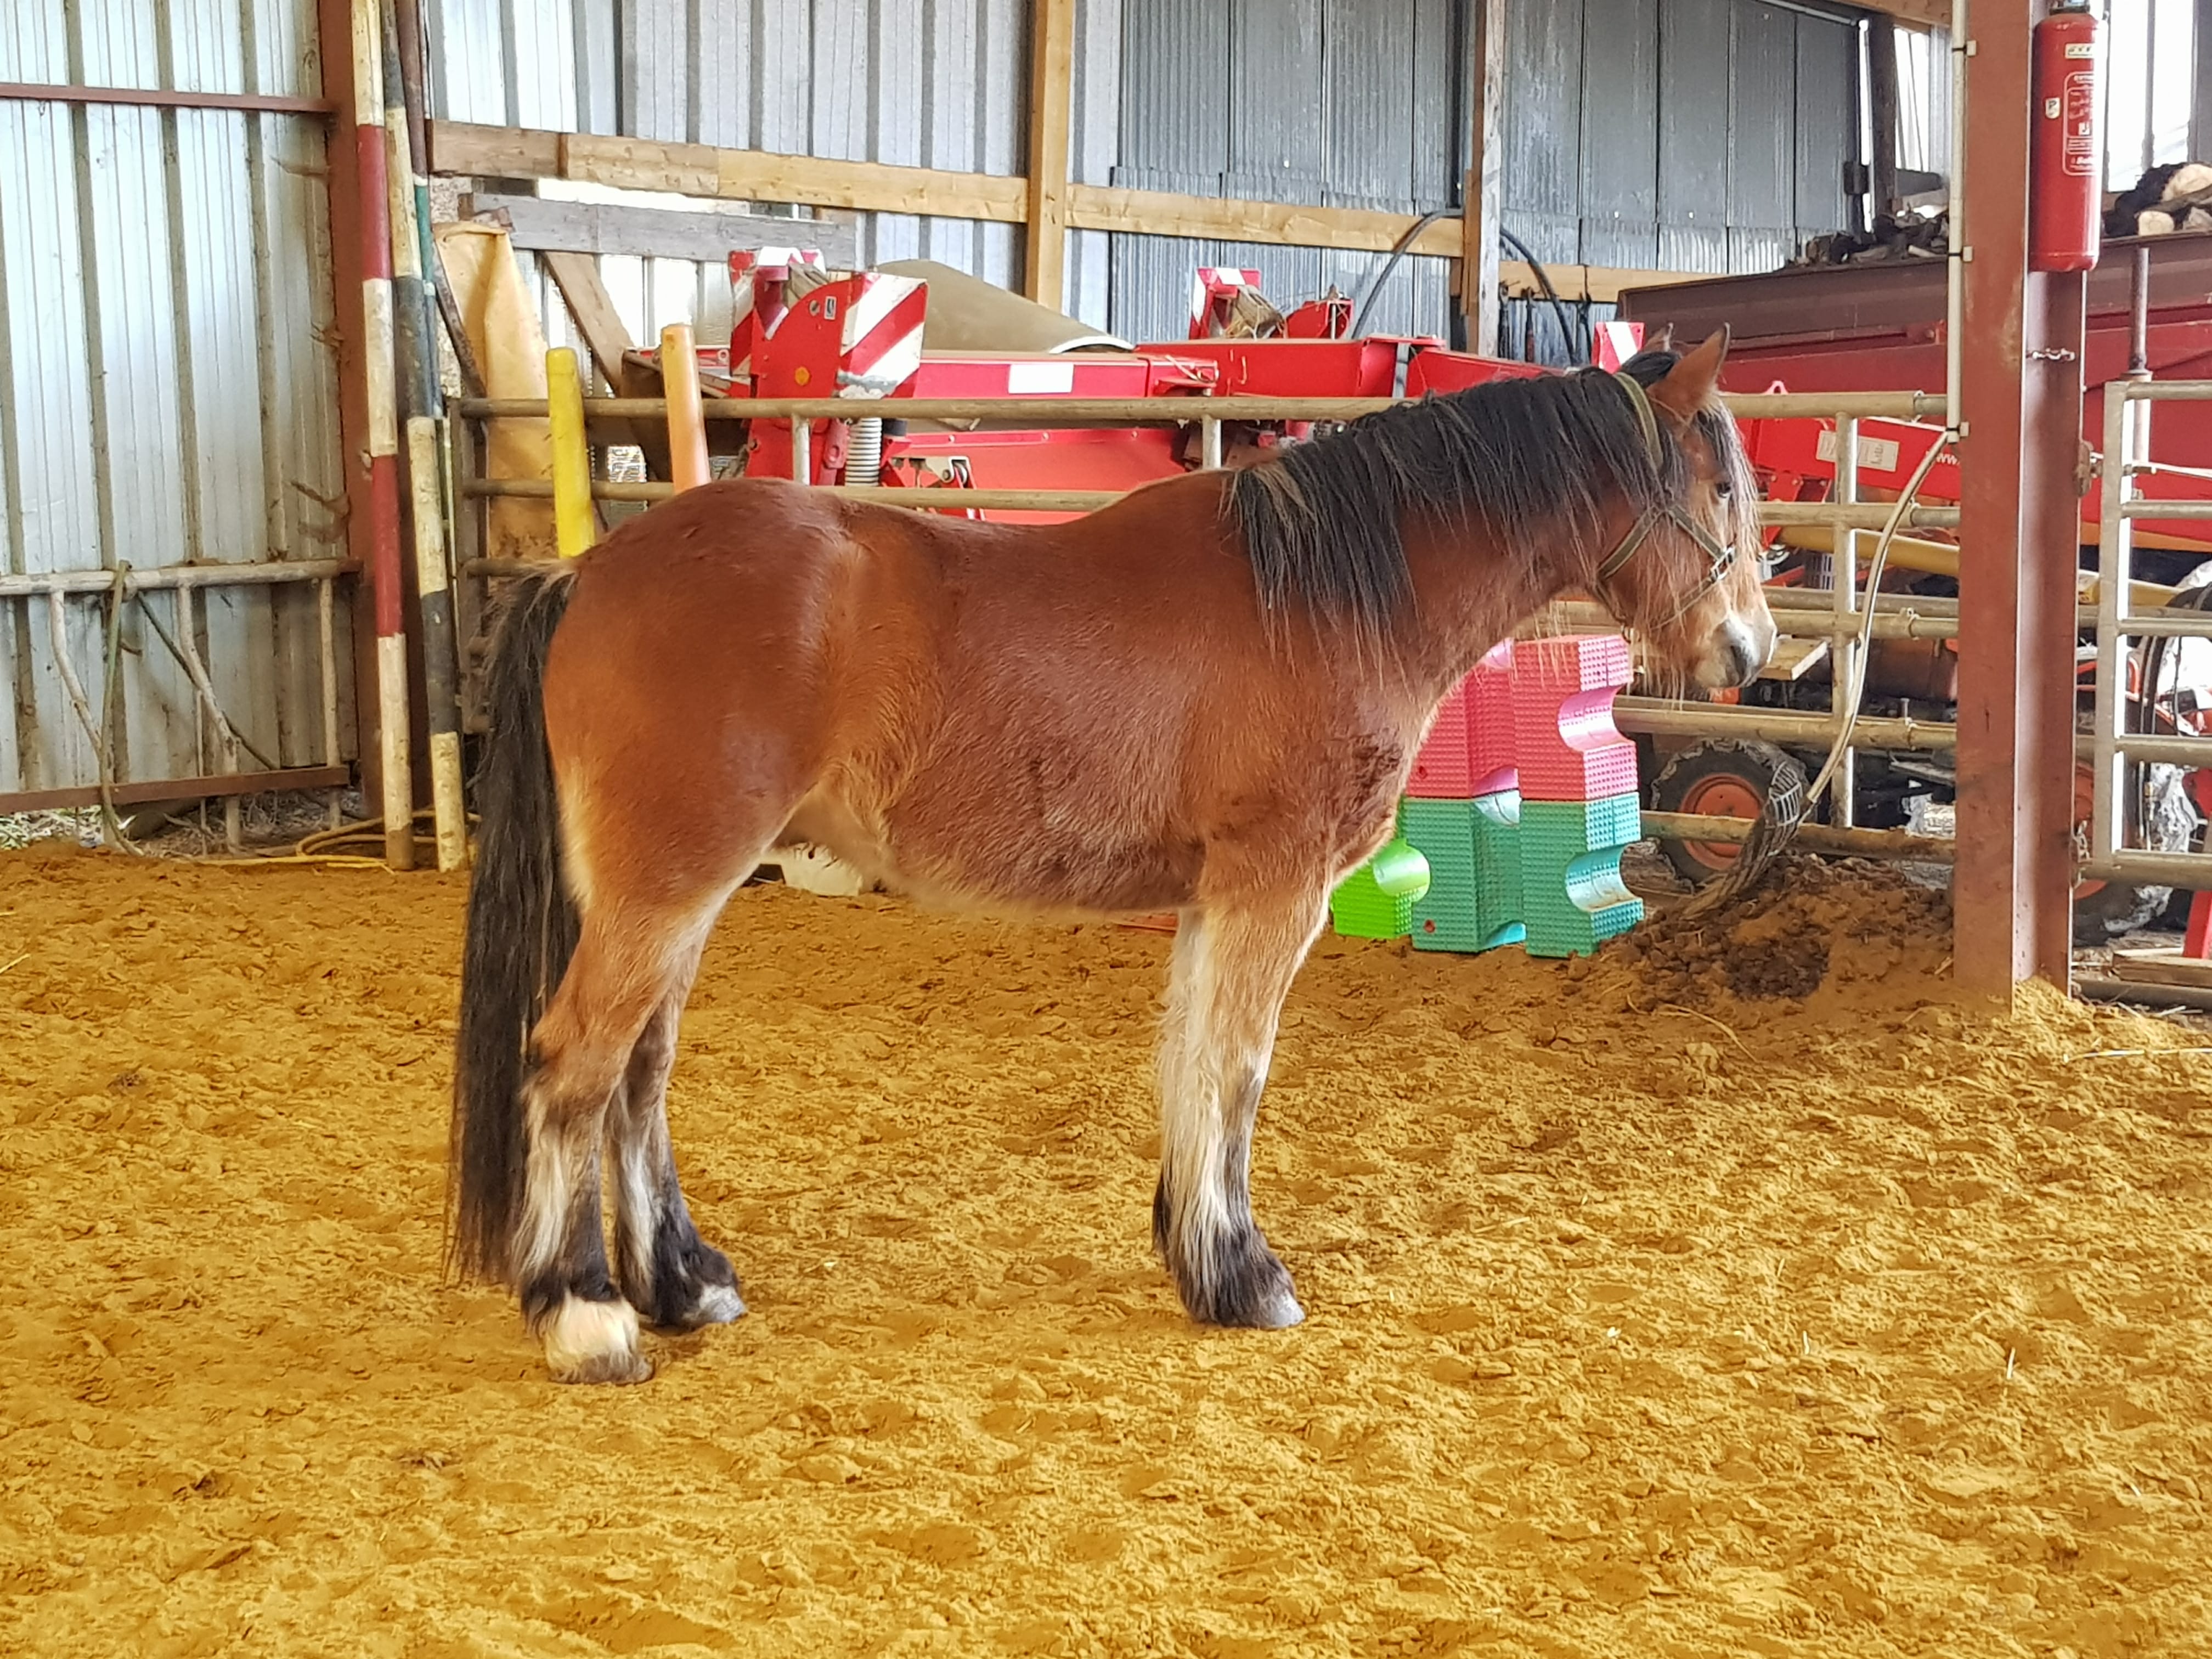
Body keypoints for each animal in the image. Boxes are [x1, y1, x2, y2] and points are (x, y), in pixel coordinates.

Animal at [448, 329, 1775, 1385]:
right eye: (1718, 486)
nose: (1753, 654)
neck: (1324, 597)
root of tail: (587, 571)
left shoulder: (1214, 898)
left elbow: (1190, 1066)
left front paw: (1198, 1255)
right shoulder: (1274, 888)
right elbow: (1236, 1074)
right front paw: (1246, 1278)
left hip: (673, 894)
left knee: (640, 1072)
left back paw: (681, 1282)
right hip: (667, 887)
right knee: (575, 1067)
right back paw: (587, 1318)